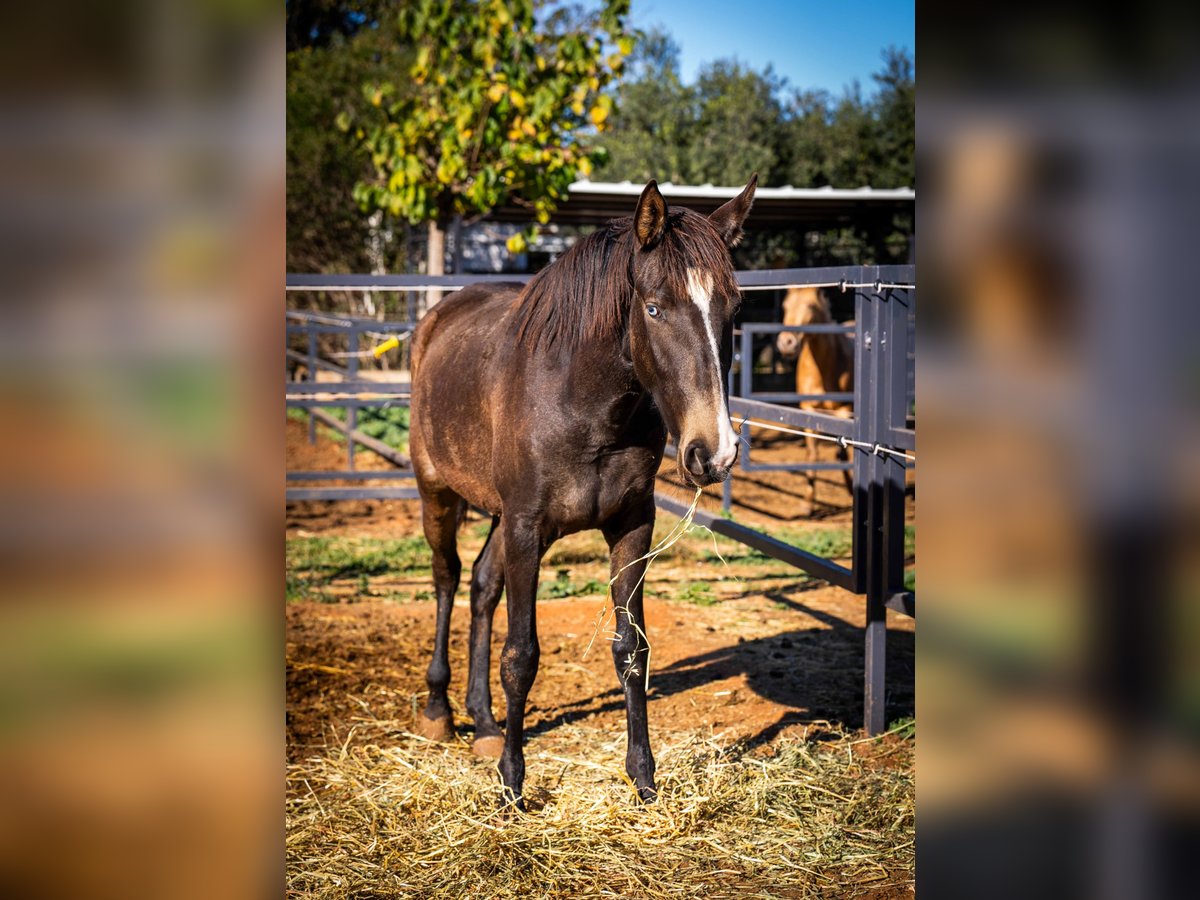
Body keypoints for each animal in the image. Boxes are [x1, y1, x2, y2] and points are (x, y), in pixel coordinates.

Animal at [408, 176, 753, 811]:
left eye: (733, 309)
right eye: (653, 307)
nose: (712, 453)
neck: (584, 405)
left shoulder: (631, 527)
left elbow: (632, 650)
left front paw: (643, 778)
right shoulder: (527, 529)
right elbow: (521, 656)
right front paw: (513, 785)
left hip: (497, 516)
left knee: (481, 587)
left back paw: (485, 725)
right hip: (437, 493)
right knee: (446, 579)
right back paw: (440, 711)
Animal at [777, 290, 854, 513]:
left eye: (811, 305)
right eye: (785, 305)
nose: (786, 342)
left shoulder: (845, 412)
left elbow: (847, 454)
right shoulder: (808, 411)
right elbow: (812, 455)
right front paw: (807, 503)